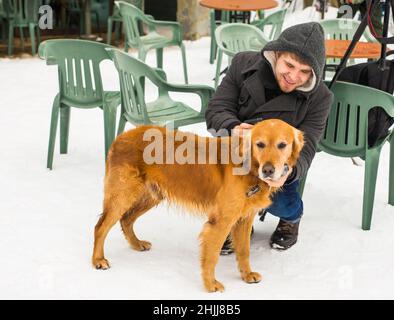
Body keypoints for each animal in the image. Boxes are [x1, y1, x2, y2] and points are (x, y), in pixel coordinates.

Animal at [92, 119, 304, 292]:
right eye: (260, 144)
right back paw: (98, 260)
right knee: (100, 226)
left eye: (282, 145)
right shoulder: (220, 222)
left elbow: (244, 250)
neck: (249, 168)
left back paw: (136, 244)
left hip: (152, 195)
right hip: (123, 195)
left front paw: (246, 275)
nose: (268, 170)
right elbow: (211, 256)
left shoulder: (244, 218)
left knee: (127, 219)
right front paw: (211, 285)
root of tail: (121, 137)